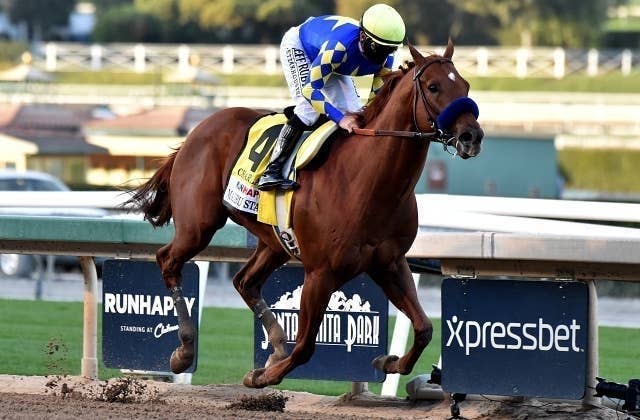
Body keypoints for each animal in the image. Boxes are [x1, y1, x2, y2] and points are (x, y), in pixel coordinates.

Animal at [126, 40, 483, 388]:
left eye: (465, 85)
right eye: (434, 87)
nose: (472, 136)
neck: (365, 180)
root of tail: (198, 129)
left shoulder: (389, 263)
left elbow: (424, 328)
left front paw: (389, 362)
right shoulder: (320, 273)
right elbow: (305, 347)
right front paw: (263, 376)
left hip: (274, 241)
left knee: (245, 281)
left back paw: (275, 345)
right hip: (199, 225)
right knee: (169, 261)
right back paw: (185, 351)